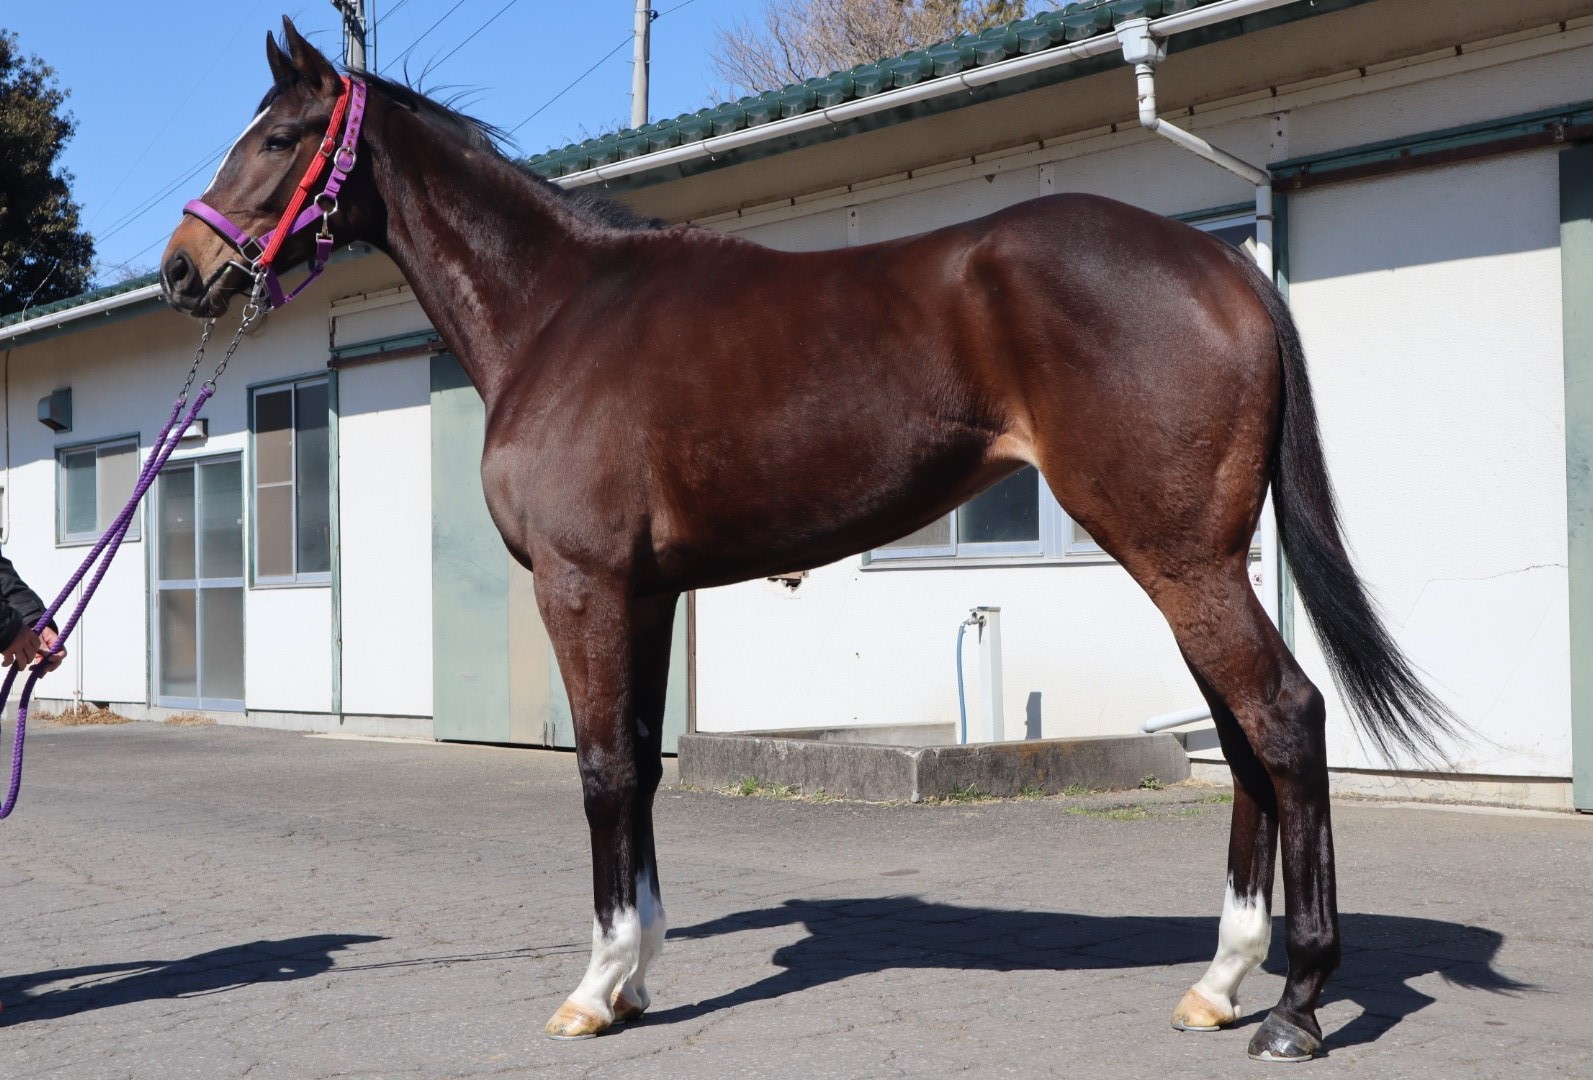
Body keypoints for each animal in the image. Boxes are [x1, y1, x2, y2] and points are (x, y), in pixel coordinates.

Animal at [160, 18, 1456, 1063]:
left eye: (280, 136)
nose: (185, 270)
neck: (560, 316)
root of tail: (1222, 266)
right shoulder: (646, 595)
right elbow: (640, 770)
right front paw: (636, 978)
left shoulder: (585, 587)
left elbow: (603, 771)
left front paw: (594, 986)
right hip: (1193, 561)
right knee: (1242, 741)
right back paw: (1221, 983)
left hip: (1178, 558)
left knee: (1283, 719)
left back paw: (1297, 1006)